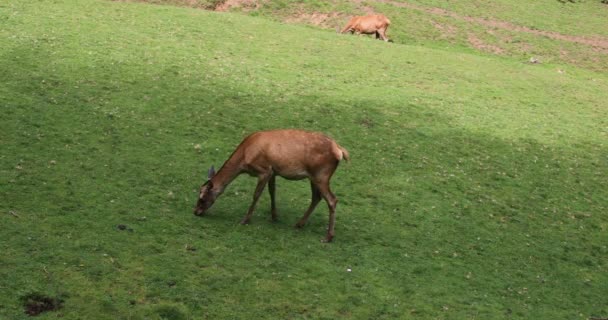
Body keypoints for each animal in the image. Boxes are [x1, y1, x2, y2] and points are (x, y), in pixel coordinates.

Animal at [192, 129, 350, 241]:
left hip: (321, 175)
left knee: (332, 199)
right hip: (314, 176)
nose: (196, 212)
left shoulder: (264, 170)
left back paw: (328, 237)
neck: (244, 157)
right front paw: (274, 216)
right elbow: (272, 191)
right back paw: (299, 224)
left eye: (202, 198)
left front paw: (245, 220)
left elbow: (256, 195)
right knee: (317, 197)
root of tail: (340, 151)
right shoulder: (273, 171)